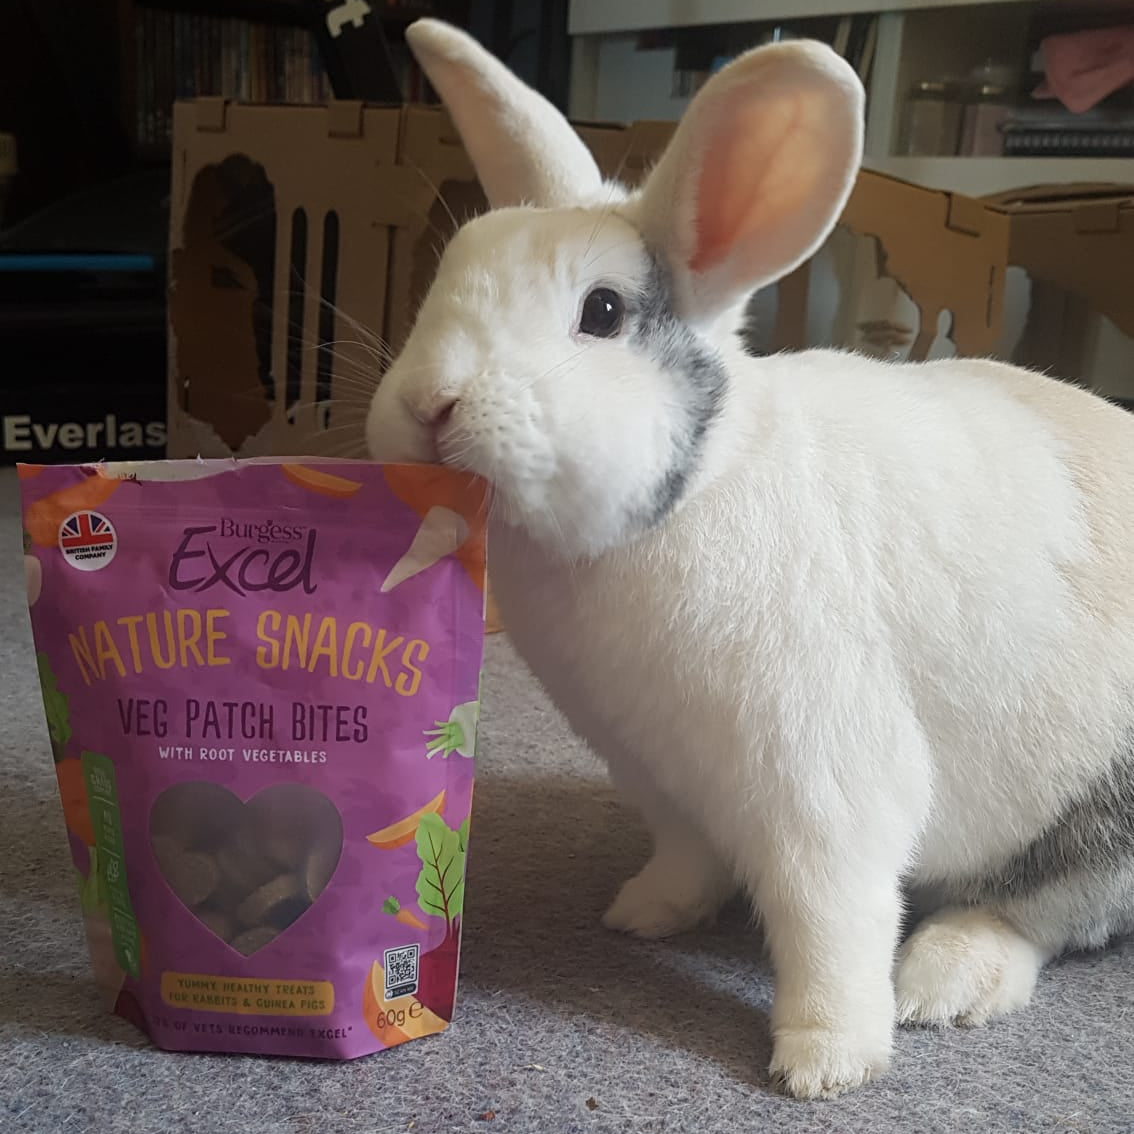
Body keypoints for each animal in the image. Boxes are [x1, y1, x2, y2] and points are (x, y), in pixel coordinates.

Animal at [366, 19, 1134, 1099]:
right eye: (449, 275)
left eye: (603, 313)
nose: (428, 405)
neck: (692, 489)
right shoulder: (657, 771)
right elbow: (687, 855)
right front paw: (647, 912)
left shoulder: (825, 790)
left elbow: (829, 922)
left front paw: (825, 1061)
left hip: (1091, 819)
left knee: (1050, 912)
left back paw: (945, 979)